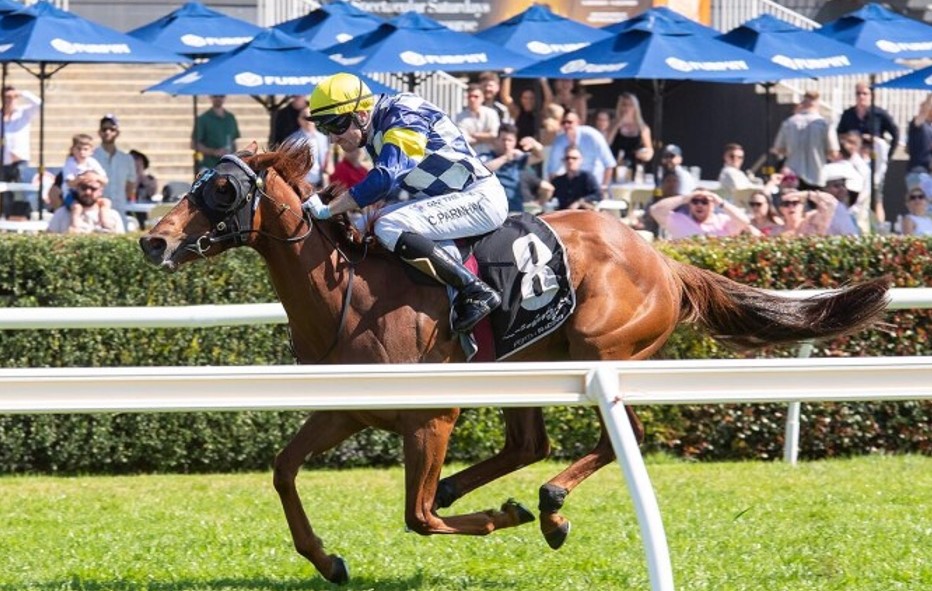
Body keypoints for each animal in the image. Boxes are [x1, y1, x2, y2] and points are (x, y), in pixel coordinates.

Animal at [140, 141, 888, 584]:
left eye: (222, 190)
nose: (153, 240)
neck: (347, 292)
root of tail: (662, 258)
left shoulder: (432, 418)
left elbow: (417, 517)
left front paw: (510, 515)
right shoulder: (347, 410)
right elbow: (283, 470)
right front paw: (328, 560)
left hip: (600, 348)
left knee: (620, 435)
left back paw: (549, 506)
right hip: (529, 358)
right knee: (530, 441)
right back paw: (493, 491)